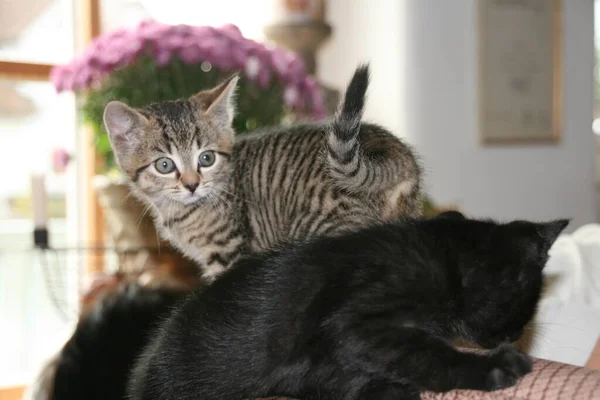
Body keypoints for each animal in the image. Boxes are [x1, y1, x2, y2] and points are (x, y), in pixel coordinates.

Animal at [127, 214, 568, 400]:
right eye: (528, 302)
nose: (515, 335)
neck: (441, 255)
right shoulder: (356, 324)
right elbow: (428, 353)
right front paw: (494, 367)